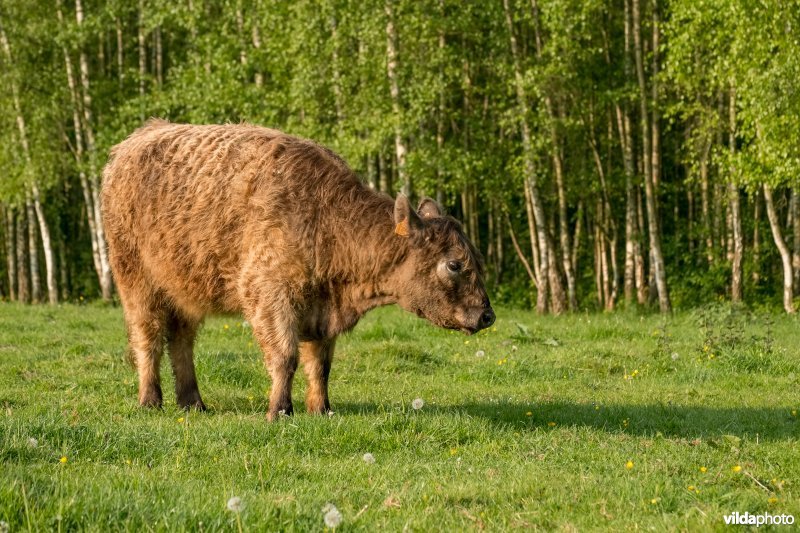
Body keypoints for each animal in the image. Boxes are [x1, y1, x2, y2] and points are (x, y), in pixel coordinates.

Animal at [101, 121, 494, 420]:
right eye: (454, 263)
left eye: (476, 257)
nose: (487, 315)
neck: (326, 221)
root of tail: (129, 145)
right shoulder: (271, 298)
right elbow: (285, 357)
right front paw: (280, 411)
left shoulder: (320, 313)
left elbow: (320, 365)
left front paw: (322, 410)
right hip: (136, 283)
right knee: (148, 338)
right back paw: (150, 401)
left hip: (185, 292)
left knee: (181, 340)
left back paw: (194, 403)